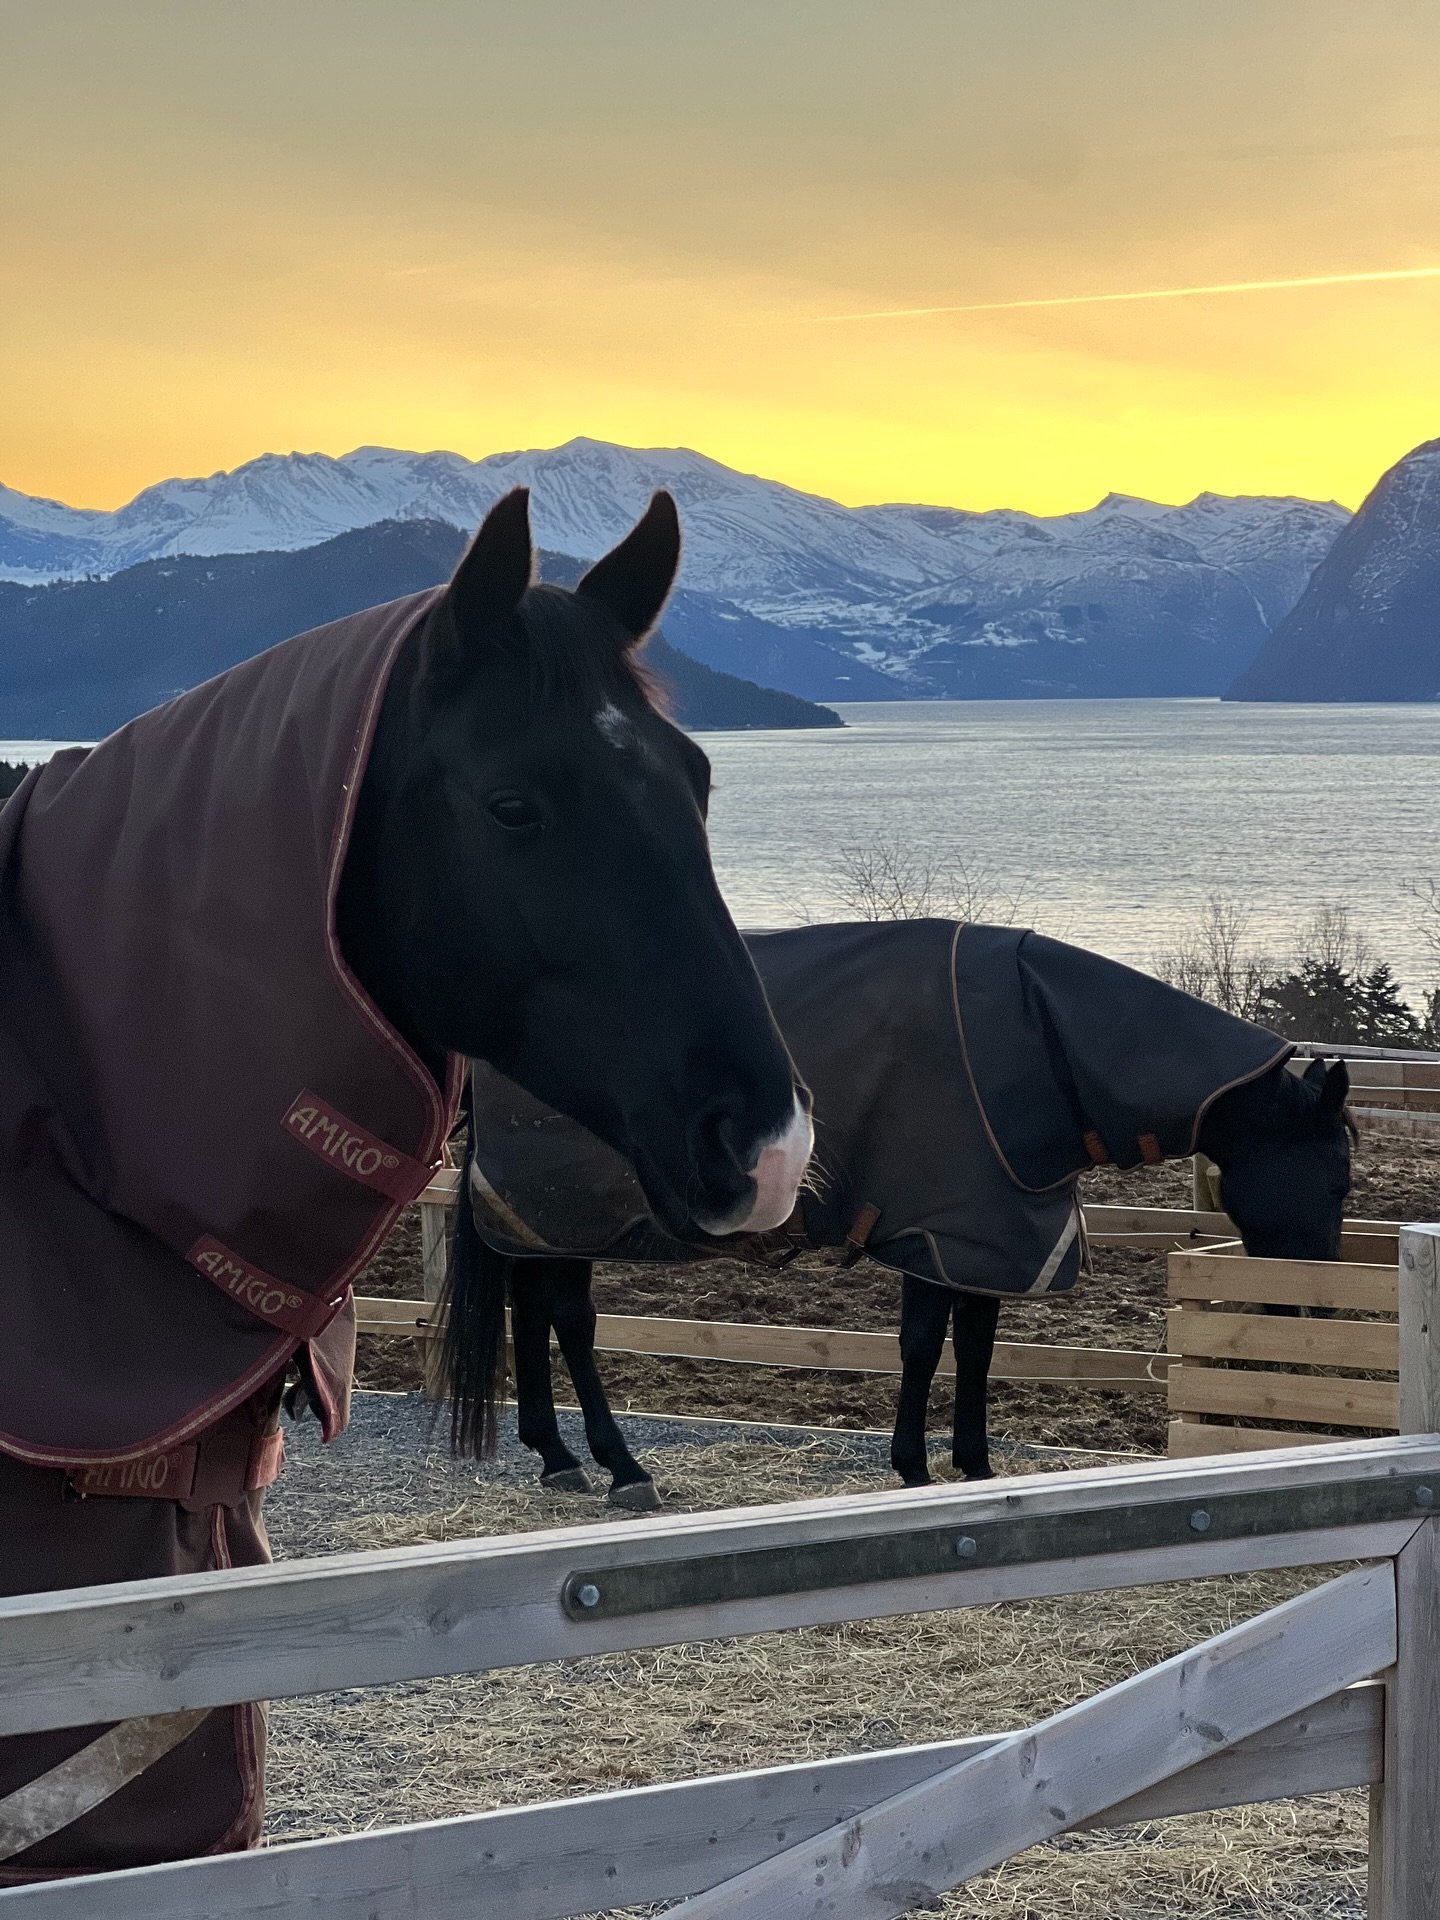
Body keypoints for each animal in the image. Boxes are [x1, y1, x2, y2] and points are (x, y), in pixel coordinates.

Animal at [439, 918, 1352, 1505]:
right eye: (1340, 1178)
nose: (1306, 1307)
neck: (1036, 1036)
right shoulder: (934, 1230)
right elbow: (921, 1348)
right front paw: (913, 1465)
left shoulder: (989, 1233)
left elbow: (976, 1351)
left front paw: (974, 1467)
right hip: (570, 1206)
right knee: (570, 1320)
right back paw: (621, 1468)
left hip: (536, 1215)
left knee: (530, 1308)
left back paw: (556, 1454)